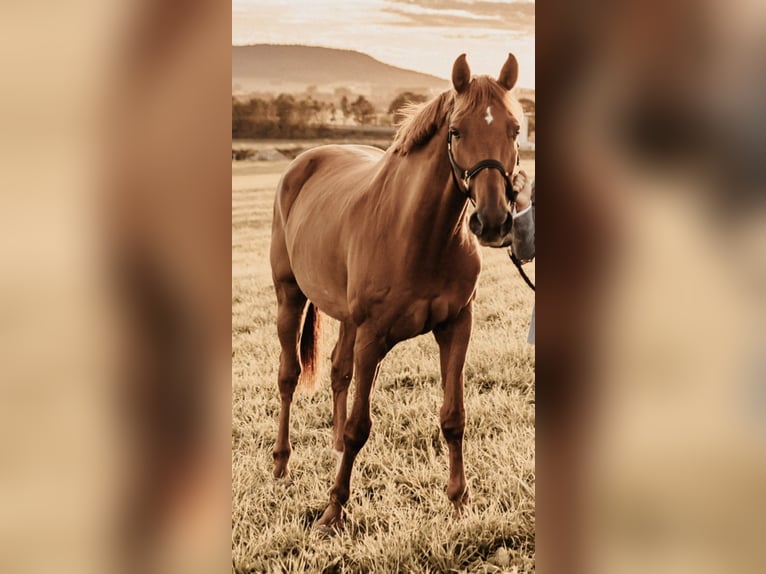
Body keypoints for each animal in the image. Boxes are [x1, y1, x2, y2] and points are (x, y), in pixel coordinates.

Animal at [269, 53, 534, 532]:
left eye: (514, 129)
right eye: (456, 131)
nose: (492, 222)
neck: (418, 234)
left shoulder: (456, 327)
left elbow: (453, 417)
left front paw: (459, 502)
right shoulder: (373, 336)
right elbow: (360, 426)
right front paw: (334, 508)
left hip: (346, 319)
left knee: (338, 371)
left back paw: (332, 445)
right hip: (289, 296)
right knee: (289, 376)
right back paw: (281, 463)